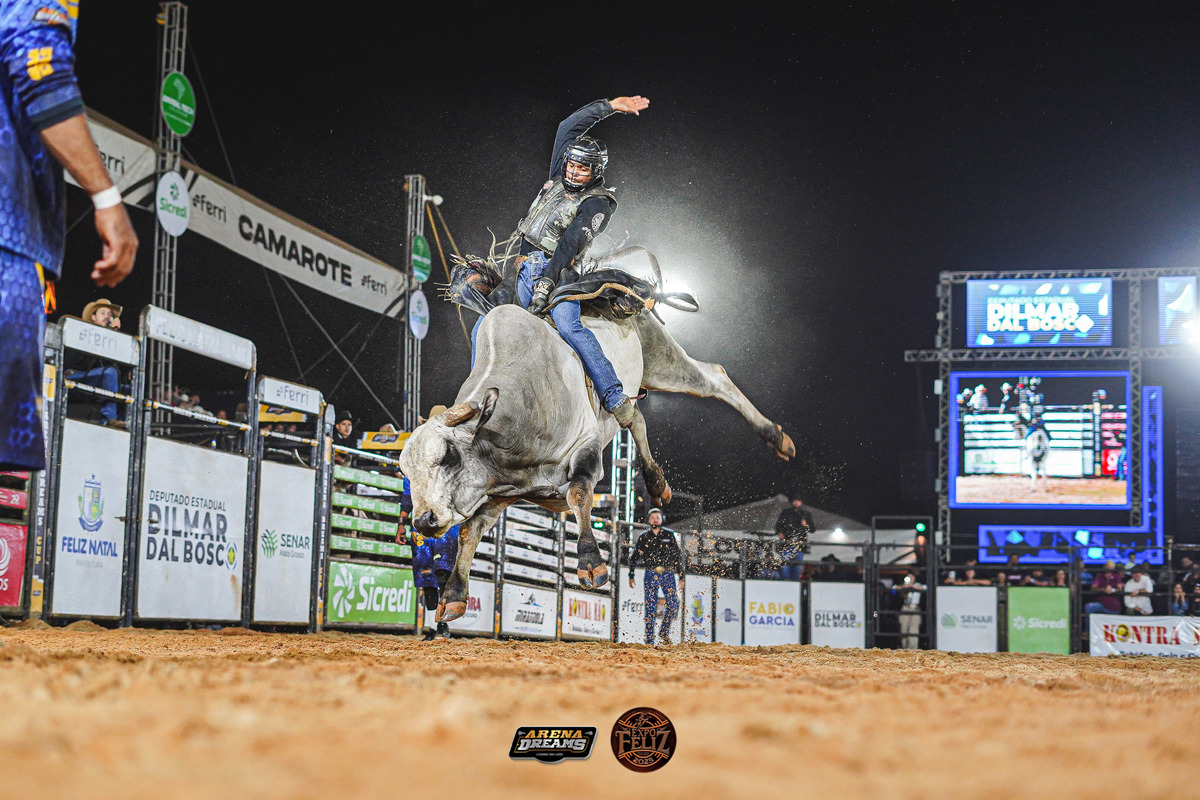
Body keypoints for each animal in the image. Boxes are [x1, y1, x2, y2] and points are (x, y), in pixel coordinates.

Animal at [399, 290, 794, 624]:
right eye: (406, 472)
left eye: (448, 455)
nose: (422, 521)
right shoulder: (499, 489)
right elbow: (471, 530)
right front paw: (452, 596)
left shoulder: (585, 447)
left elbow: (579, 493)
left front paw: (591, 563)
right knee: (633, 416)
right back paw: (657, 483)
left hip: (662, 358)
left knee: (714, 378)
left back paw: (777, 438)